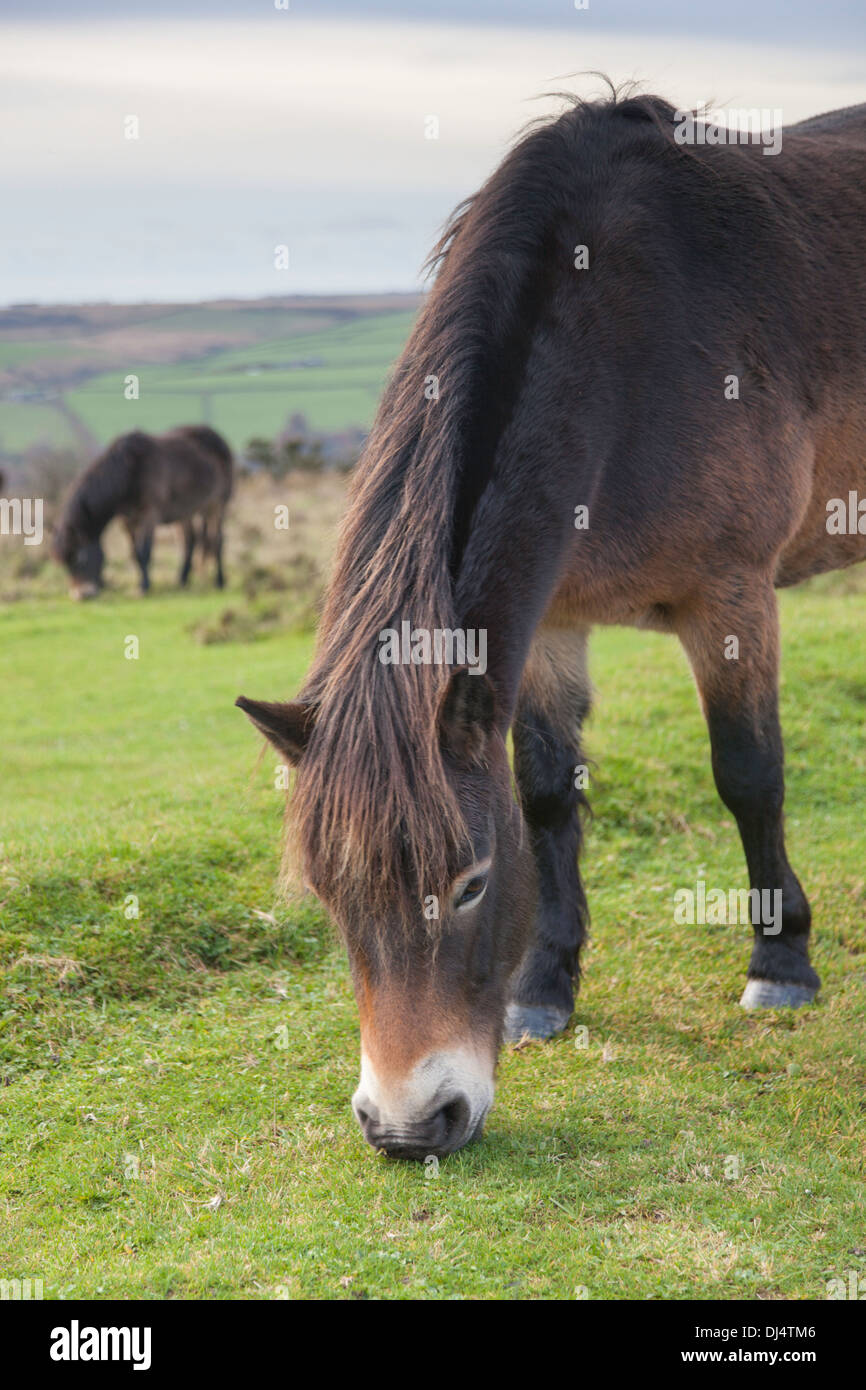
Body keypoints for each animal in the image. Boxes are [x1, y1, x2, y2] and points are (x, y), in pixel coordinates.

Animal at [53, 425, 233, 598]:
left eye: (80, 559)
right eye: (65, 565)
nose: (81, 595)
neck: (129, 471)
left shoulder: (149, 515)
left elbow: (144, 552)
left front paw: (144, 587)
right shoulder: (127, 521)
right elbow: (134, 553)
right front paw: (141, 583)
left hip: (217, 506)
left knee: (217, 540)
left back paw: (220, 581)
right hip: (186, 512)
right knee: (190, 540)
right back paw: (182, 580)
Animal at [238, 91, 866, 1160]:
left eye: (472, 883)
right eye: (328, 894)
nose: (409, 1126)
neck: (628, 346)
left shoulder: (732, 598)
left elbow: (749, 775)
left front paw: (780, 962)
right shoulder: (550, 630)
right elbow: (543, 795)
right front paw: (546, 987)